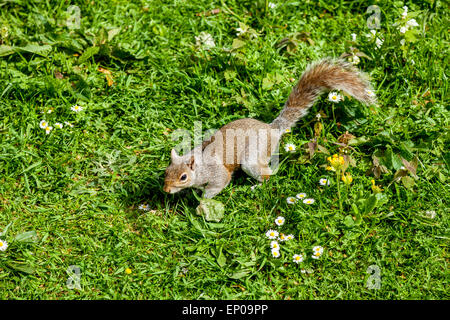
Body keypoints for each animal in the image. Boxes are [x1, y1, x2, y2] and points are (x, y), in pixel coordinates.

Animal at [163, 57, 374, 198]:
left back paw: (256, 187)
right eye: (166, 171)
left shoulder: (217, 173)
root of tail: (272, 129)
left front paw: (202, 203)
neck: (199, 166)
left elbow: (219, 183)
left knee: (267, 175)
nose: (165, 189)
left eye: (183, 177)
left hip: (253, 157)